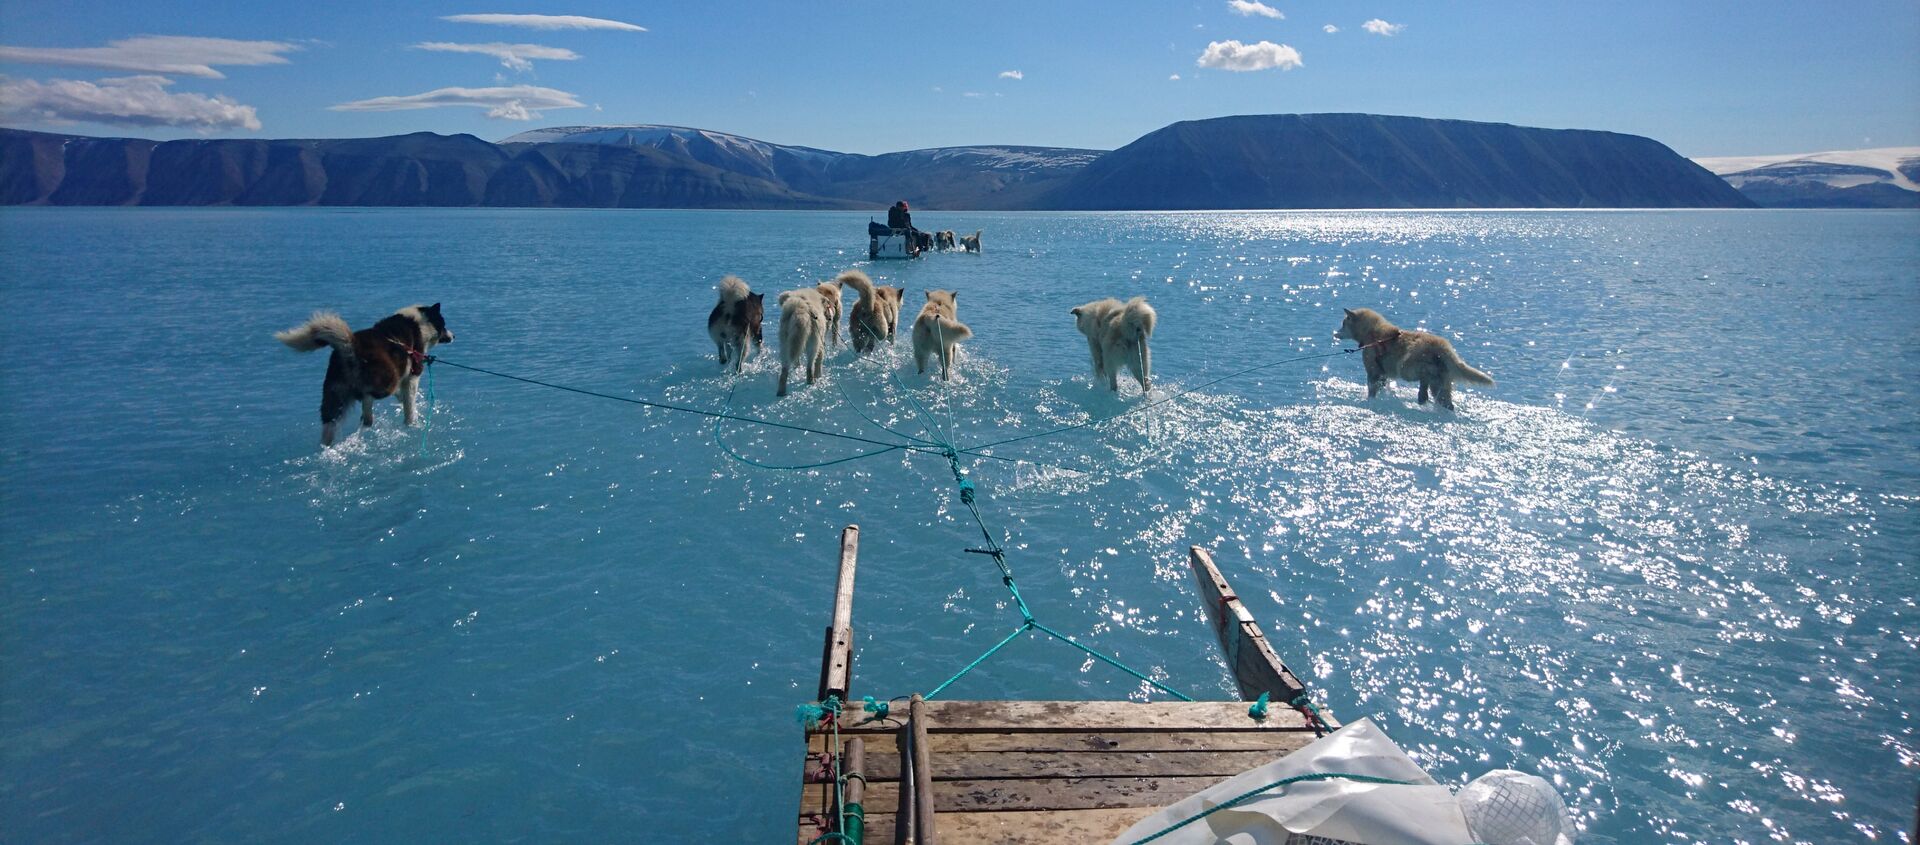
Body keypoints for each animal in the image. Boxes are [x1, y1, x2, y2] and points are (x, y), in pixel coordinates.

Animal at [276, 305, 455, 449]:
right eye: (444, 324)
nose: (454, 336)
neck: (419, 323)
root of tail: (350, 345)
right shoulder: (412, 377)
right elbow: (409, 405)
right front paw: (412, 422)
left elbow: (401, 396)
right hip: (387, 378)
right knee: (368, 395)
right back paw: (367, 417)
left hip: (334, 394)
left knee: (330, 422)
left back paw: (328, 444)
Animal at [1344, 305, 1489, 410]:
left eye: (1343, 323)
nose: (1338, 334)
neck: (1372, 332)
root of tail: (1445, 349)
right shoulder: (1382, 372)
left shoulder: (1373, 368)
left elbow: (1372, 386)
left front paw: (1370, 399)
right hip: (1442, 379)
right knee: (1444, 398)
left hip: (1411, 362)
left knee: (1422, 375)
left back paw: (1422, 395)